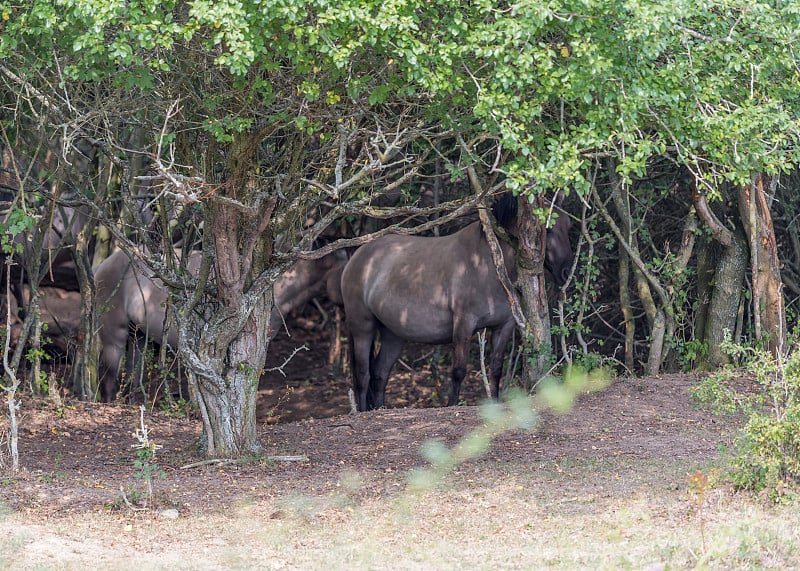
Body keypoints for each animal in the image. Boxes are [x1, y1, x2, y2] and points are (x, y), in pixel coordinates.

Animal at [340, 194, 572, 414]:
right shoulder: (464, 324)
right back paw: (362, 411)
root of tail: (356, 257)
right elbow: (458, 371)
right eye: (548, 229)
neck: (488, 264)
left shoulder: (504, 326)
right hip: (363, 329)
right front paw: (452, 404)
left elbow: (496, 369)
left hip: (393, 334)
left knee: (380, 374)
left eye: (568, 226)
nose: (566, 273)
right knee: (363, 374)